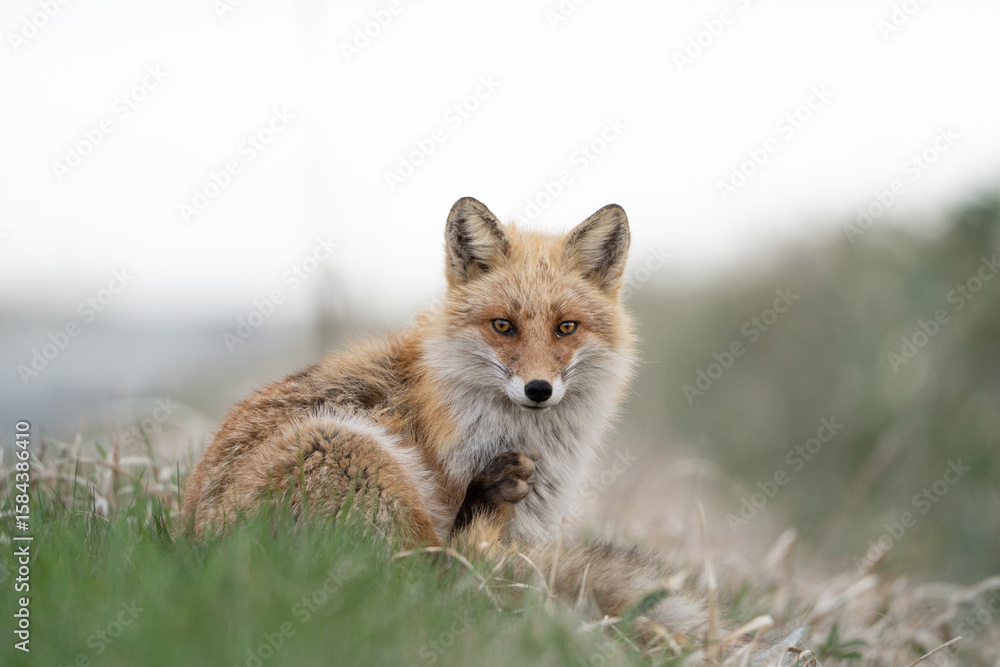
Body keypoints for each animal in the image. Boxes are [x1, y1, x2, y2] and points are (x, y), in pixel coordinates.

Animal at [181, 197, 788, 660]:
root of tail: (196, 546)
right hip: (347, 450)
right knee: (432, 578)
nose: (538, 389)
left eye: (566, 328)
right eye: (503, 326)